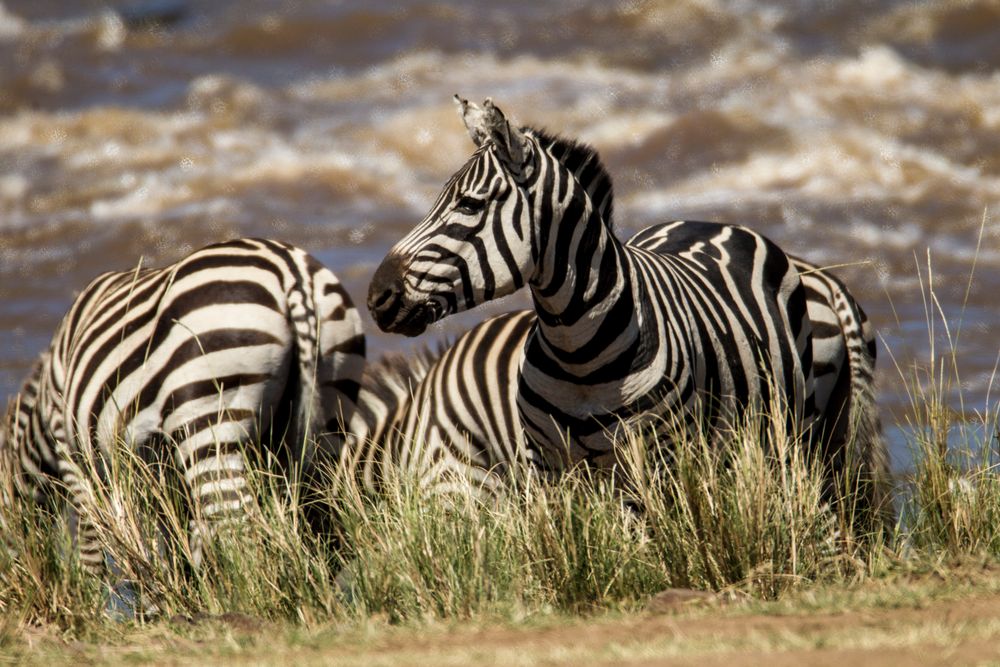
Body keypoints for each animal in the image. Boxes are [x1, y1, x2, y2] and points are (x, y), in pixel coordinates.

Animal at [0, 237, 368, 572]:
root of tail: (292, 276)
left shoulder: (74, 453)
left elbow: (93, 543)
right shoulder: (165, 478)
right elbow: (181, 543)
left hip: (209, 420)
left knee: (240, 534)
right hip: (330, 410)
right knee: (325, 526)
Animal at [370, 95, 892, 520]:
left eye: (470, 204)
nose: (377, 297)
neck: (576, 348)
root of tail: (715, 223)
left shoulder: (652, 464)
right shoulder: (546, 468)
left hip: (799, 434)